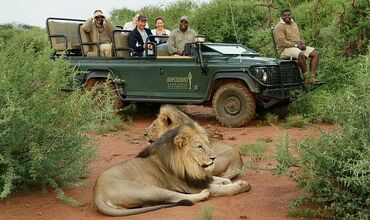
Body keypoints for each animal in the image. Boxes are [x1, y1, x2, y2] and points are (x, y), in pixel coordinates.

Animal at [94, 124, 250, 217]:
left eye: (207, 144)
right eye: (199, 147)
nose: (214, 158)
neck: (191, 166)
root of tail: (97, 193)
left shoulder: (199, 178)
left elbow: (223, 179)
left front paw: (225, 181)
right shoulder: (190, 186)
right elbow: (221, 189)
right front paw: (241, 185)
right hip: (146, 189)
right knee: (177, 197)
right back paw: (204, 193)